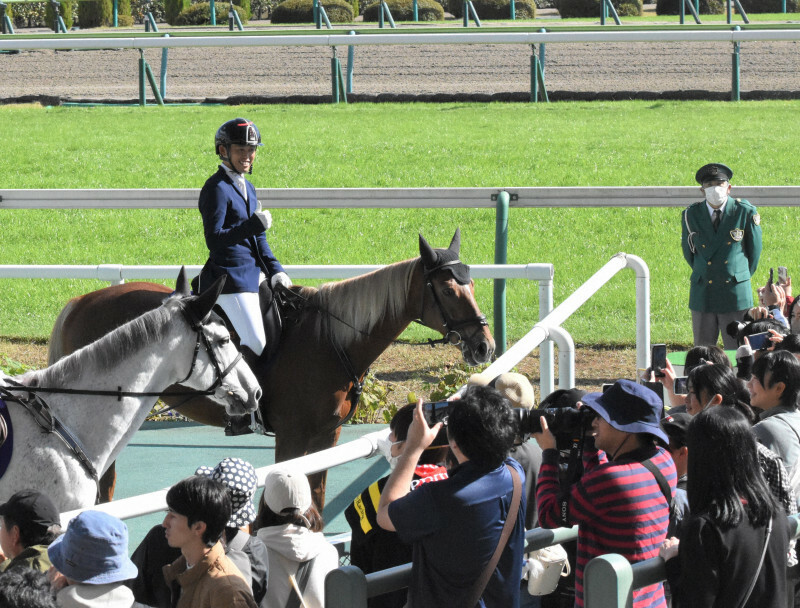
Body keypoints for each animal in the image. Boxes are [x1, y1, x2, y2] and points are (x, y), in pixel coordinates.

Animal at [48, 230, 494, 506]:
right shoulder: (293, 438)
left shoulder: (327, 436)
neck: (331, 338)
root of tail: (81, 301)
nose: (484, 345)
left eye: (471, 284)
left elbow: (315, 498)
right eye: (449, 290)